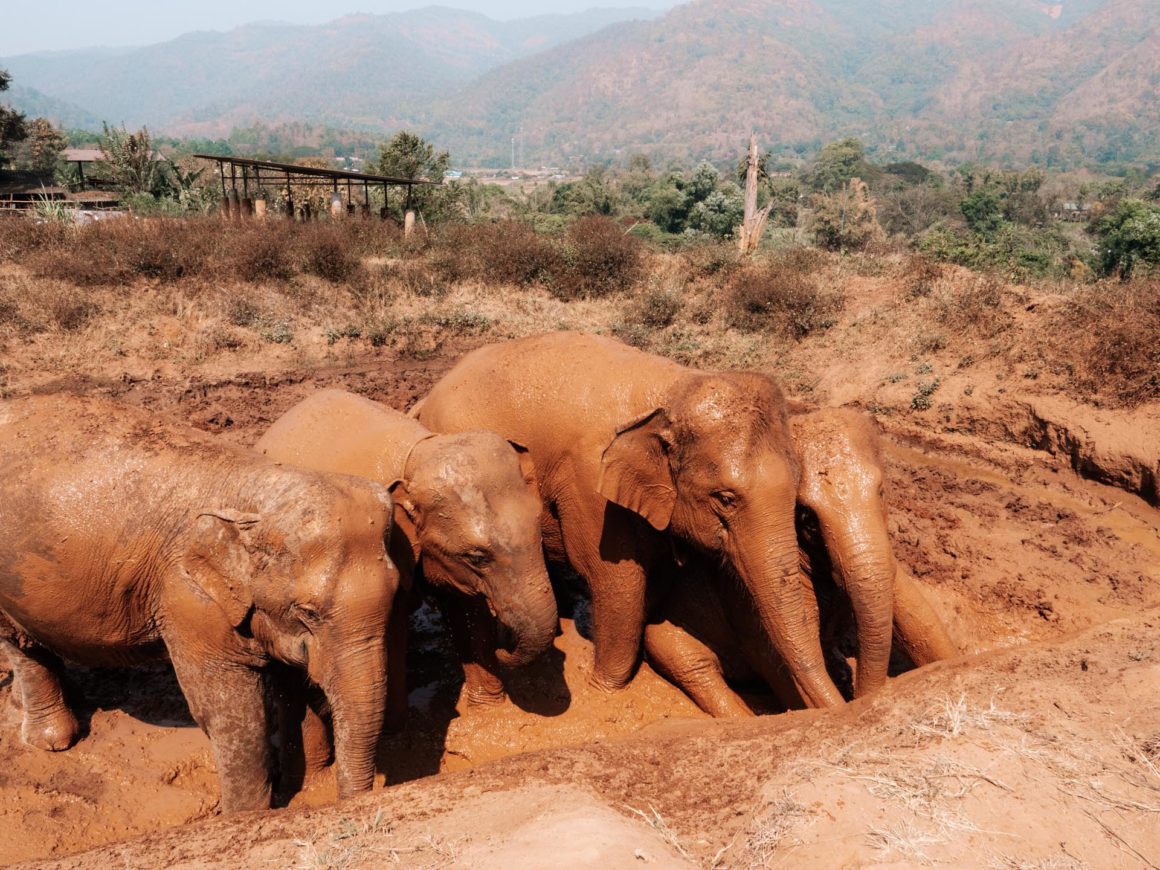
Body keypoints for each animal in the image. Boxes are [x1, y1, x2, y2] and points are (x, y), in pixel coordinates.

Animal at [0, 399, 399, 816]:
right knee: (20, 645)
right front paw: (244, 815)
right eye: (308, 613)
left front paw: (301, 789)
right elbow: (231, 714)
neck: (255, 490)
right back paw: (53, 741)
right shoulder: (188, 599)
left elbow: (290, 686)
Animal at [258, 392, 556, 709]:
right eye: (477, 558)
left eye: (538, 529)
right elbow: (390, 636)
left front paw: (489, 707)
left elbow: (466, 610)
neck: (418, 455)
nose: (505, 645)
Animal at [415, 331, 844, 709]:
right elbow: (619, 580)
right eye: (725, 499)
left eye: (796, 497)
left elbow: (652, 579)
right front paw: (603, 688)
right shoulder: (590, 487)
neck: (674, 387)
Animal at [644, 412, 960, 719]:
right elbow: (774, 660)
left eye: (881, 491)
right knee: (687, 660)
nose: (863, 696)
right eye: (807, 517)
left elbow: (923, 622)